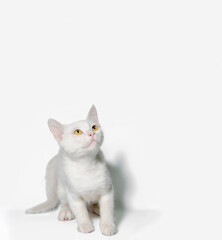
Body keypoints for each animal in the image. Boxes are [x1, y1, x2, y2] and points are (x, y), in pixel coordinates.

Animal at [25, 105, 117, 236]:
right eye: (77, 132)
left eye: (94, 127)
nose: (91, 133)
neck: (87, 165)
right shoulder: (74, 195)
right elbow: (81, 211)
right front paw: (85, 225)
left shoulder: (107, 191)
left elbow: (107, 210)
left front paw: (108, 225)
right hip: (61, 187)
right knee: (64, 202)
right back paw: (66, 211)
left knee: (93, 204)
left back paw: (96, 208)